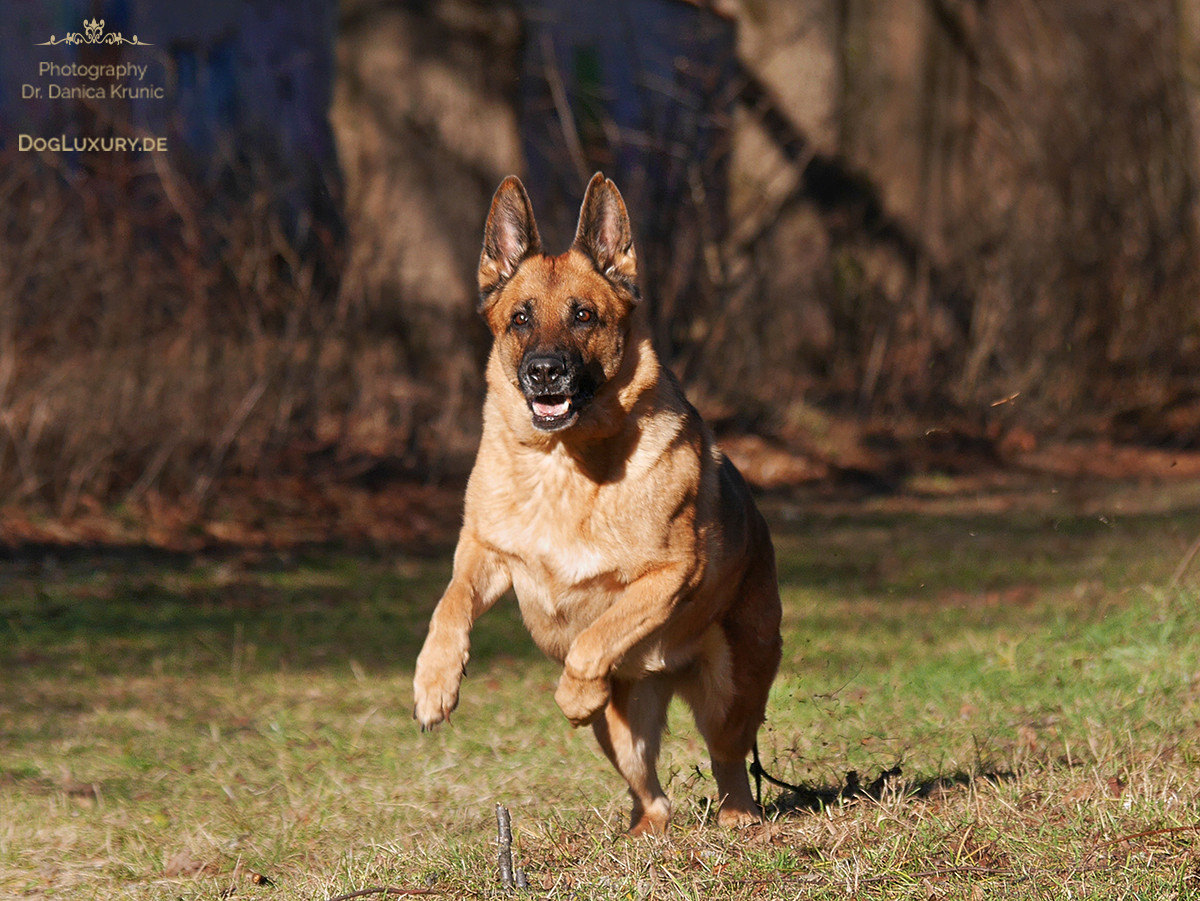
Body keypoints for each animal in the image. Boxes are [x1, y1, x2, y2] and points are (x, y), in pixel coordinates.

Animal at [412, 172, 782, 835]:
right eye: (520, 319)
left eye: (584, 315)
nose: (544, 373)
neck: (562, 463)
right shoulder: (484, 553)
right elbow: (449, 607)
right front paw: (433, 685)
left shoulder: (670, 575)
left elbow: (592, 641)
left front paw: (573, 693)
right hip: (623, 738)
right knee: (654, 796)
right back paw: (644, 834)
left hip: (730, 694)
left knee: (728, 760)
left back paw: (738, 818)